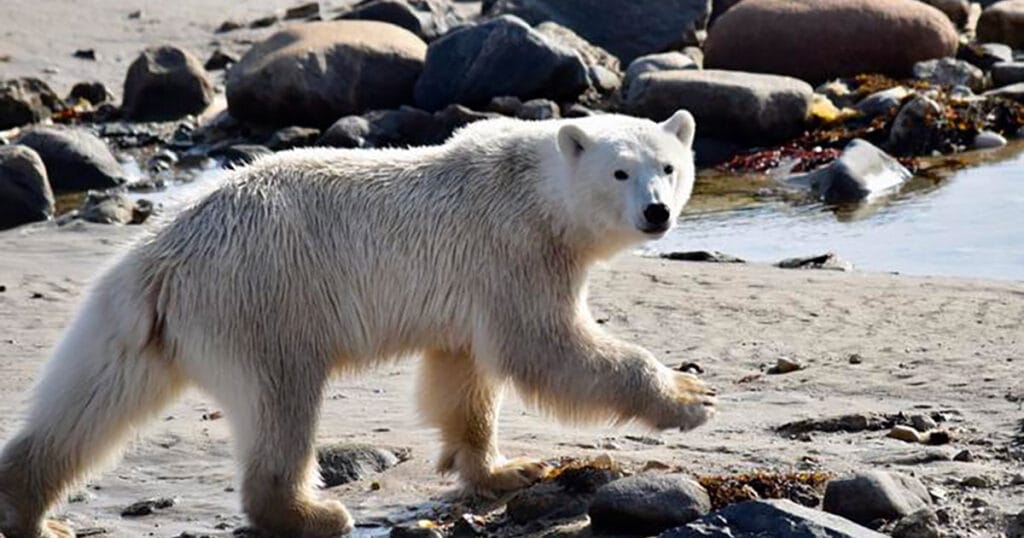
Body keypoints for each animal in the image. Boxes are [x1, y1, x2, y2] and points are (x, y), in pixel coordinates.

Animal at [0, 110, 716, 538]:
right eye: (620, 171)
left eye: (669, 167)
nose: (656, 212)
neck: (535, 191)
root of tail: (163, 256)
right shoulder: (515, 251)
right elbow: (546, 347)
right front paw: (689, 396)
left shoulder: (471, 286)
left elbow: (461, 375)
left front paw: (505, 469)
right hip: (263, 296)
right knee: (281, 401)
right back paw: (312, 511)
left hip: (128, 323)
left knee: (87, 403)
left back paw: (28, 507)